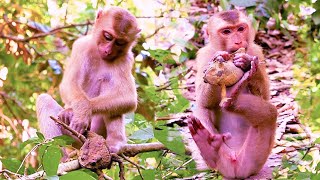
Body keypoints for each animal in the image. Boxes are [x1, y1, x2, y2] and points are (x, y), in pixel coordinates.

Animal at [36, 6, 140, 153]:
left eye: (120, 43)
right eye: (108, 36)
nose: (108, 51)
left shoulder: (126, 59)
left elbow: (127, 98)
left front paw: (80, 110)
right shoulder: (81, 46)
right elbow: (68, 84)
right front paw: (79, 109)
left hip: (96, 132)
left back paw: (116, 142)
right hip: (72, 140)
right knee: (44, 100)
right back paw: (62, 154)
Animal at [188, 10, 278, 179]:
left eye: (240, 29)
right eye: (227, 31)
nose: (238, 42)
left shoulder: (256, 51)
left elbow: (265, 97)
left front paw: (246, 62)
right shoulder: (204, 55)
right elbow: (203, 101)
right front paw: (217, 64)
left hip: (252, 162)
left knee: (270, 113)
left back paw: (233, 101)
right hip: (222, 165)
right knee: (200, 109)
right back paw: (210, 147)